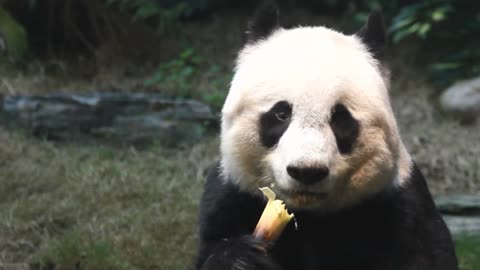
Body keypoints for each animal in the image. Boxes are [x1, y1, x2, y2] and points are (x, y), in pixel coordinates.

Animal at [194, 2, 458, 270]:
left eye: (340, 118)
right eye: (281, 113)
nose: (307, 171)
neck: (308, 214)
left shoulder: (399, 206)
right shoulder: (233, 194)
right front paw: (241, 259)